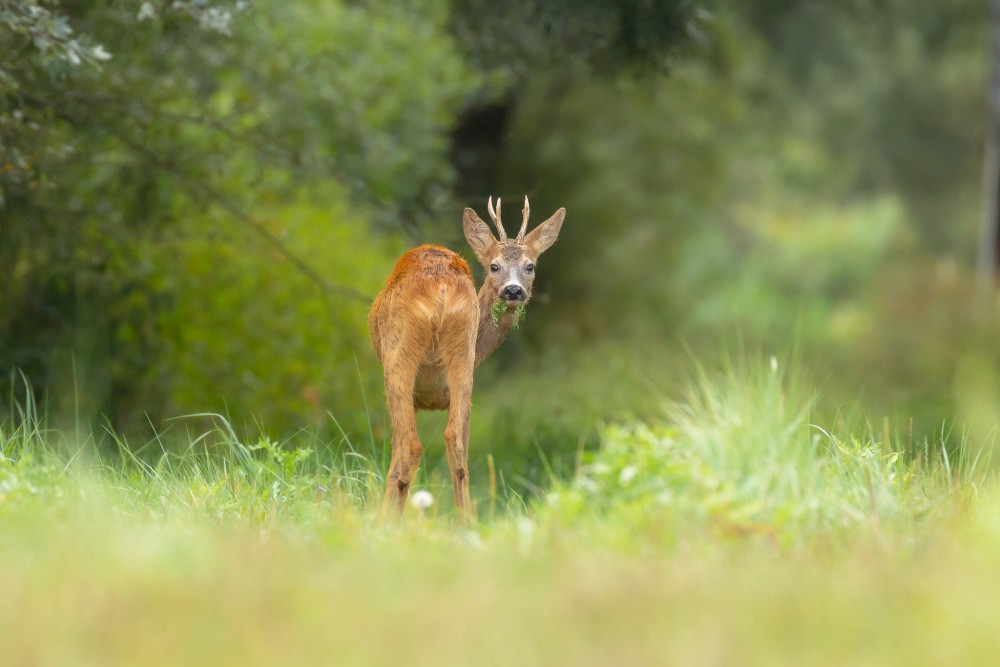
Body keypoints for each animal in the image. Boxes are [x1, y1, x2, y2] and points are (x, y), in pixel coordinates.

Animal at [370, 196, 572, 520]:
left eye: (530, 266)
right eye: (494, 266)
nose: (513, 290)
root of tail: (441, 286)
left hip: (399, 355)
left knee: (409, 445)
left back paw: (391, 520)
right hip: (463, 355)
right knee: (454, 440)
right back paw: (467, 520)